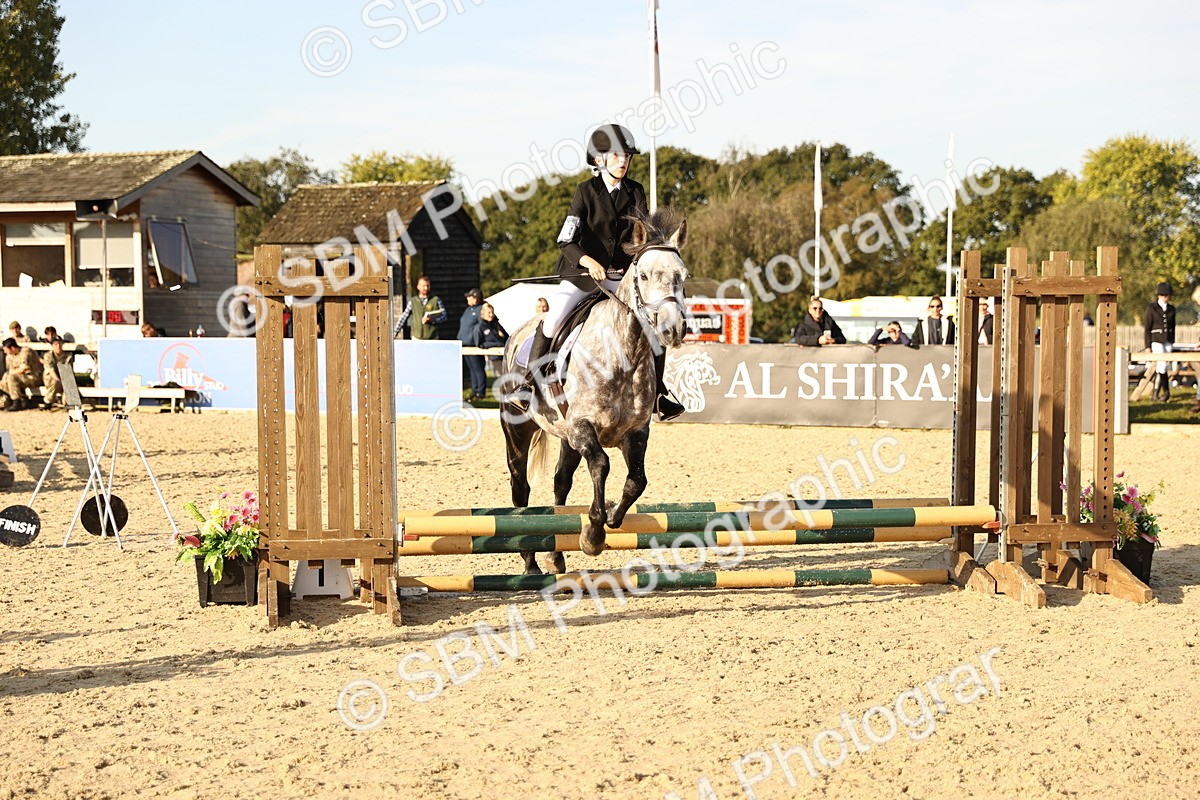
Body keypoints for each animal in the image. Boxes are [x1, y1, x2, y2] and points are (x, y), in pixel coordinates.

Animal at [499, 208, 689, 575]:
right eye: (644, 276)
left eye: (683, 276)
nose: (673, 329)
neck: (623, 354)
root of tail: (517, 333)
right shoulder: (582, 426)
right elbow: (601, 464)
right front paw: (593, 534)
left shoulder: (635, 432)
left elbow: (636, 481)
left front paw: (612, 517)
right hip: (517, 430)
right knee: (520, 488)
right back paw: (531, 564)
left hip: (565, 438)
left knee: (560, 482)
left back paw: (556, 556)